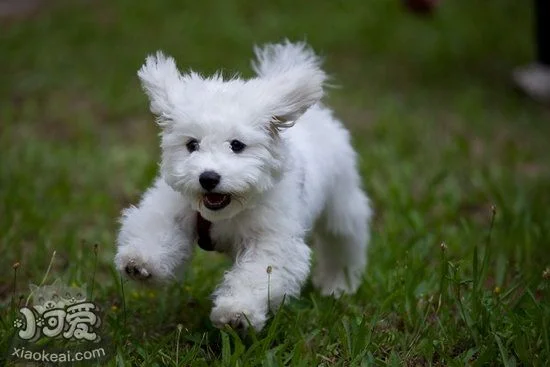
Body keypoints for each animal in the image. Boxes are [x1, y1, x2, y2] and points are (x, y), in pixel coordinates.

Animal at [116, 41, 376, 332]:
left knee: (343, 241)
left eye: (237, 145)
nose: (208, 178)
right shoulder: (172, 207)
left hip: (341, 204)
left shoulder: (271, 239)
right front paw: (140, 262)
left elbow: (257, 275)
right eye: (192, 144)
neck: (226, 211)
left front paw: (236, 313)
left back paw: (338, 285)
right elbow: (156, 229)